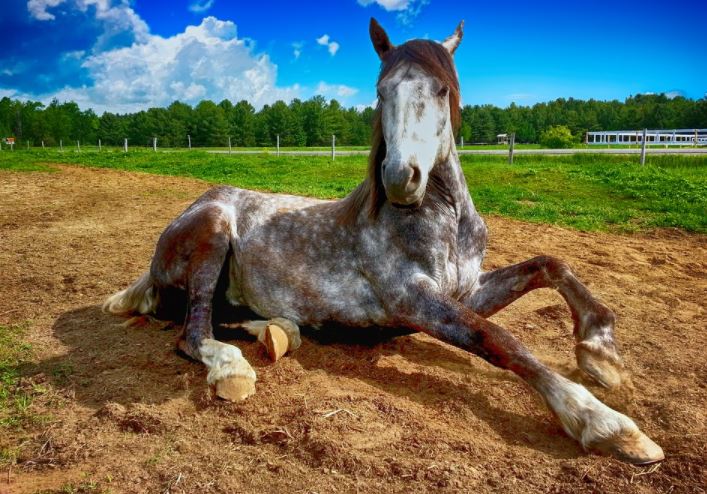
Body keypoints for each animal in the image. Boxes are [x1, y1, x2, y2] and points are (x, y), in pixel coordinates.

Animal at [102, 19, 668, 466]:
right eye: (381, 92)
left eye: (442, 89)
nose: (400, 178)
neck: (443, 222)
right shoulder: (412, 300)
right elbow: (498, 339)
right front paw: (606, 424)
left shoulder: (466, 290)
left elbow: (551, 265)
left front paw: (601, 354)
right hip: (214, 232)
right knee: (193, 330)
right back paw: (232, 368)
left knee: (229, 317)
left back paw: (280, 331)